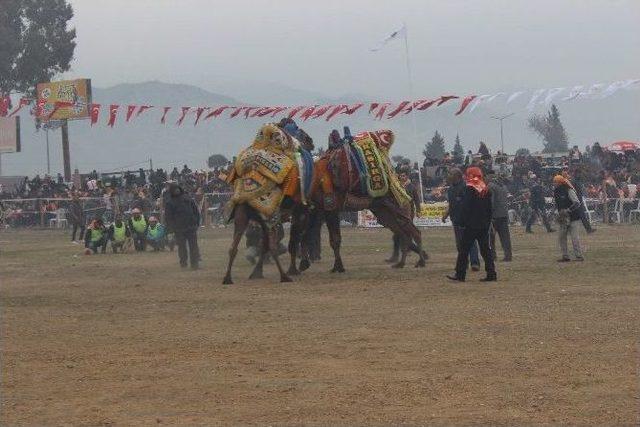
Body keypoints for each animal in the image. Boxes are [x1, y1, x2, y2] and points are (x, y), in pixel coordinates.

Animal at [222, 122, 316, 286]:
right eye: (304, 134)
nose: (311, 141)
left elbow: (265, 244)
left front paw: (256, 273)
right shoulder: (299, 211)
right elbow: (297, 237)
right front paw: (300, 266)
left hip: (242, 215)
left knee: (233, 247)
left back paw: (227, 278)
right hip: (269, 216)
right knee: (272, 246)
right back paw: (284, 277)